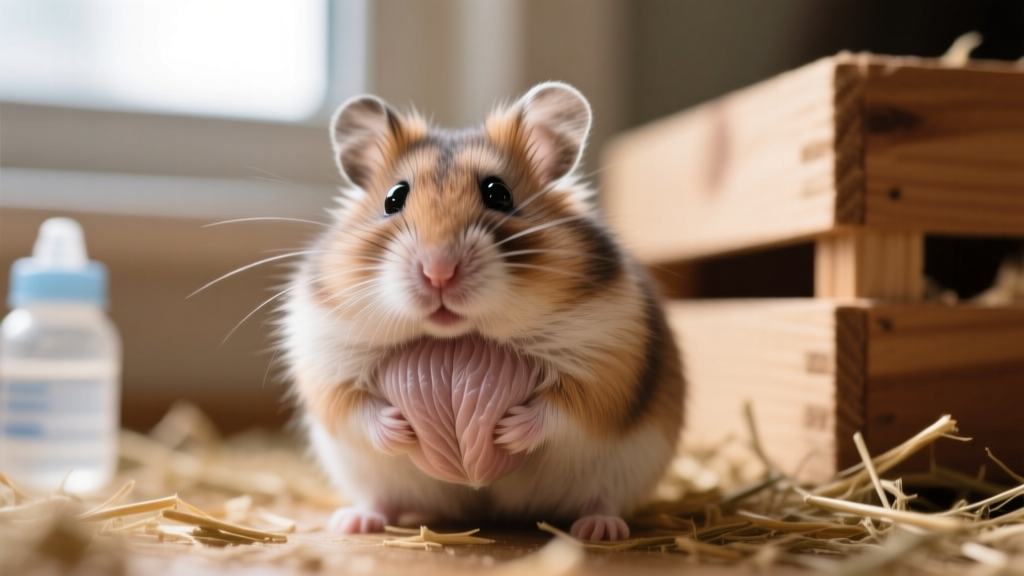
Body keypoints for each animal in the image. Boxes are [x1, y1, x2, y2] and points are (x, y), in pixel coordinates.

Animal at [279, 82, 684, 541]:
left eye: (498, 193)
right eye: (393, 198)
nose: (438, 272)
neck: (461, 332)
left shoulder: (605, 360)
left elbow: (563, 409)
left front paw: (507, 429)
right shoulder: (328, 360)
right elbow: (356, 407)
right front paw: (401, 426)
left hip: (624, 469)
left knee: (603, 499)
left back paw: (599, 530)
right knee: (381, 498)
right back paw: (354, 522)